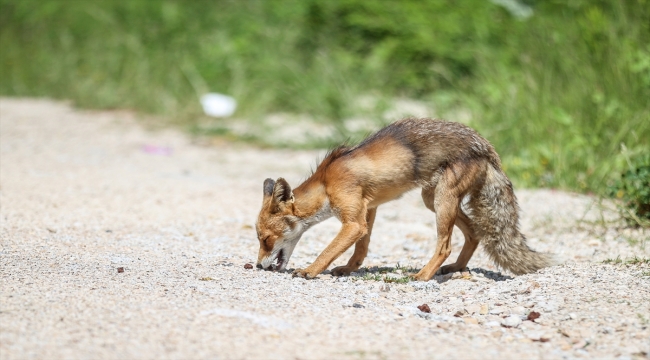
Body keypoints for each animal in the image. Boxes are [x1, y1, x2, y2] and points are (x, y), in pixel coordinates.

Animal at [253, 118, 552, 282]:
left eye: (265, 239)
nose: (257, 266)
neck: (326, 183)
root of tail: (487, 147)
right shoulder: (368, 211)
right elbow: (360, 249)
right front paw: (349, 269)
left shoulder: (353, 221)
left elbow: (327, 251)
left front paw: (310, 271)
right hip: (433, 199)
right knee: (474, 233)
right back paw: (457, 267)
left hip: (442, 201)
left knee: (445, 245)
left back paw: (423, 276)